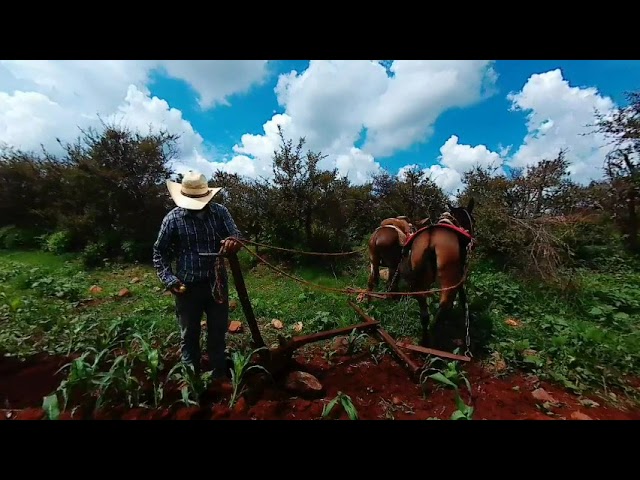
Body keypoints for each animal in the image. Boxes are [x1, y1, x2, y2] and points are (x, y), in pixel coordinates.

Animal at [400, 198, 476, 348]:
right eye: (473, 220)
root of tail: (431, 239)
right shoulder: (460, 272)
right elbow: (462, 295)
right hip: (449, 276)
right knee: (444, 303)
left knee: (424, 310)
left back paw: (425, 339)